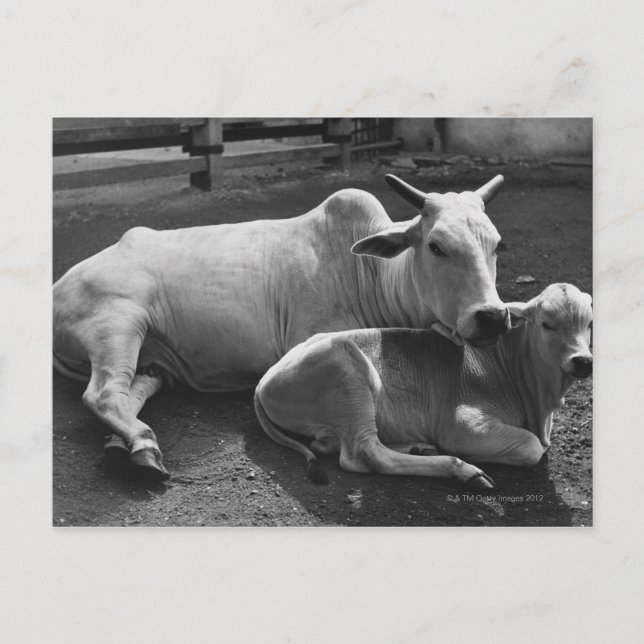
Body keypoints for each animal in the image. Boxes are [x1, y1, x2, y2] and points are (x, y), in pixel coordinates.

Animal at [53, 174, 508, 483]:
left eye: (497, 244)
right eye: (436, 245)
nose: (491, 315)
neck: (370, 274)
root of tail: (59, 286)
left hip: (154, 363)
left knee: (133, 391)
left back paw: (127, 445)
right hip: (118, 328)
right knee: (103, 394)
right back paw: (143, 444)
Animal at [254, 283, 593, 489]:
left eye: (588, 324)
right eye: (547, 324)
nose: (582, 361)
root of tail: (263, 383)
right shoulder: (461, 425)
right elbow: (531, 447)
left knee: (327, 445)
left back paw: (418, 446)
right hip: (347, 375)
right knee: (365, 453)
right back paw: (464, 471)